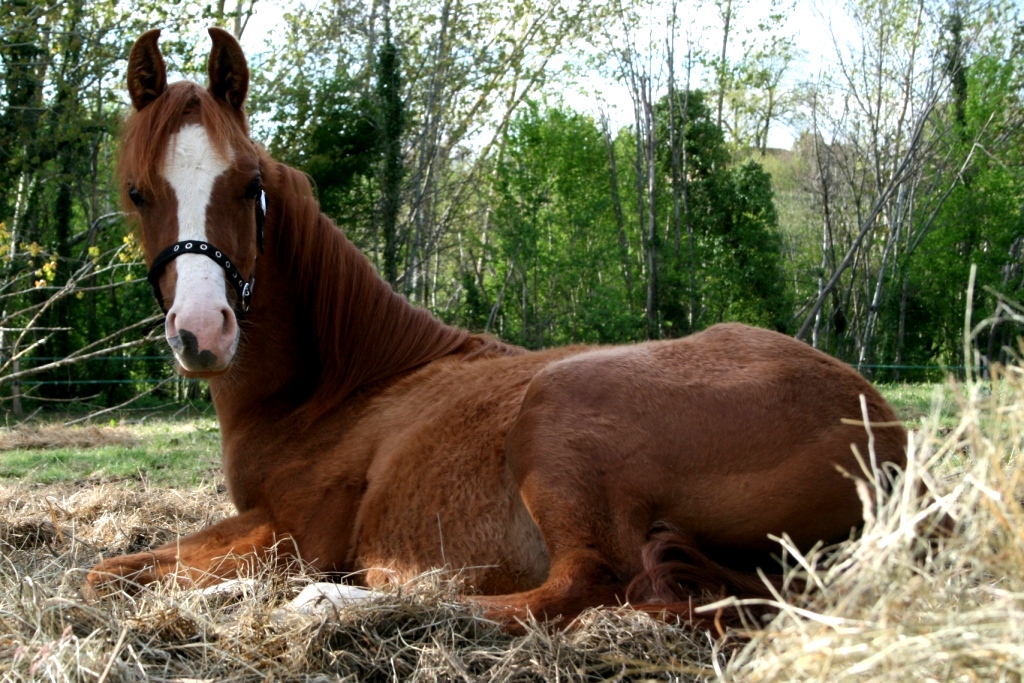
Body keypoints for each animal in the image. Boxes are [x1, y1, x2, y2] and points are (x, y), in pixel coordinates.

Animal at [83, 28, 909, 630]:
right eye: (137, 191)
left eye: (247, 183)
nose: (202, 331)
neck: (340, 389)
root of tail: (889, 433)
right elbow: (115, 569)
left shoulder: (298, 532)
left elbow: (140, 570)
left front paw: (231, 593)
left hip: (559, 414)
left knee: (577, 587)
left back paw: (339, 601)